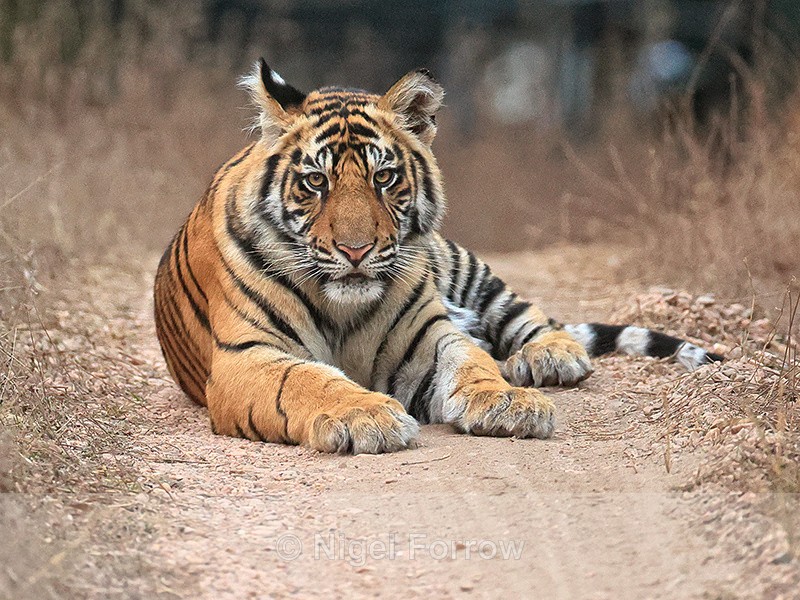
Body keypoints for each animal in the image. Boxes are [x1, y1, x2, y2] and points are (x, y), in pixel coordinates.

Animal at [153, 58, 723, 454]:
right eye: (316, 182)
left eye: (384, 177)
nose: (356, 250)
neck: (343, 305)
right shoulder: (247, 356)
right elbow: (309, 380)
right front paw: (366, 416)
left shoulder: (429, 338)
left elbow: (471, 361)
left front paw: (508, 401)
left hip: (464, 269)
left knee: (529, 316)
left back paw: (549, 357)